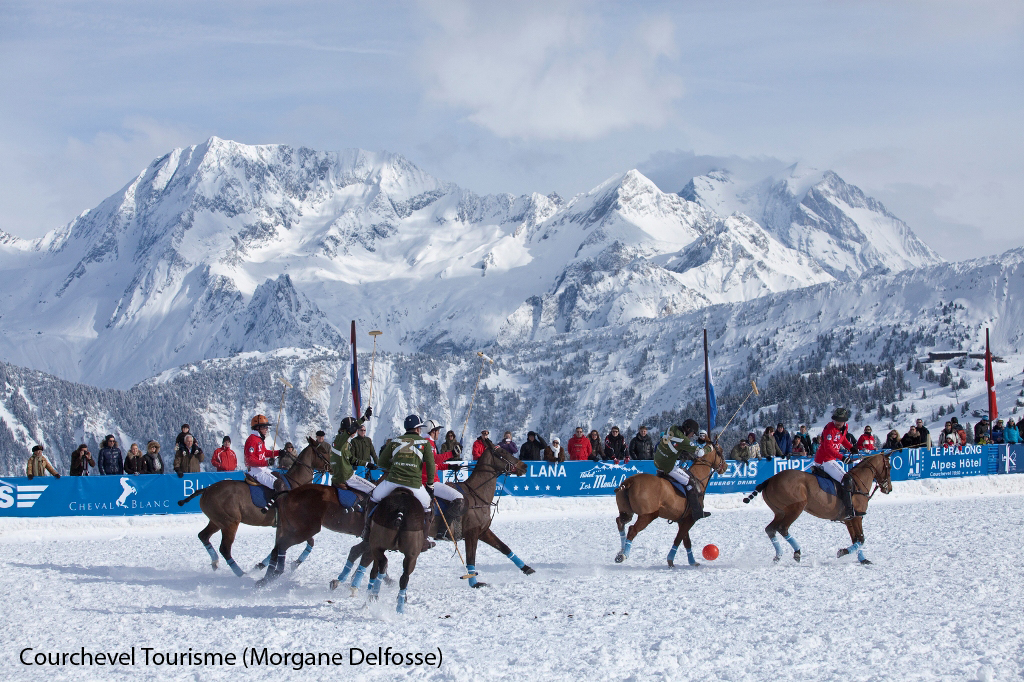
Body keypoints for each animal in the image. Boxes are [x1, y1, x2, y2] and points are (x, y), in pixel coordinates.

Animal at [178, 436, 329, 573]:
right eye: (323, 451)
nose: (331, 466)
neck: (296, 483)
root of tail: (206, 489)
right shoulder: (295, 524)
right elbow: (308, 542)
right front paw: (294, 564)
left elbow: (282, 546)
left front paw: (260, 565)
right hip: (230, 522)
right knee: (225, 549)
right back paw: (241, 574)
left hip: (216, 520)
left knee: (203, 536)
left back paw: (215, 562)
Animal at [741, 450, 892, 561]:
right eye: (889, 467)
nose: (888, 489)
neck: (858, 483)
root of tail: (770, 480)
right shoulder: (857, 517)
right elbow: (861, 538)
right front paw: (843, 552)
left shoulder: (849, 519)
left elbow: (856, 538)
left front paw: (863, 560)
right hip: (796, 507)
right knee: (782, 528)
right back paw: (797, 551)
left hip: (779, 511)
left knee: (770, 529)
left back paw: (778, 555)